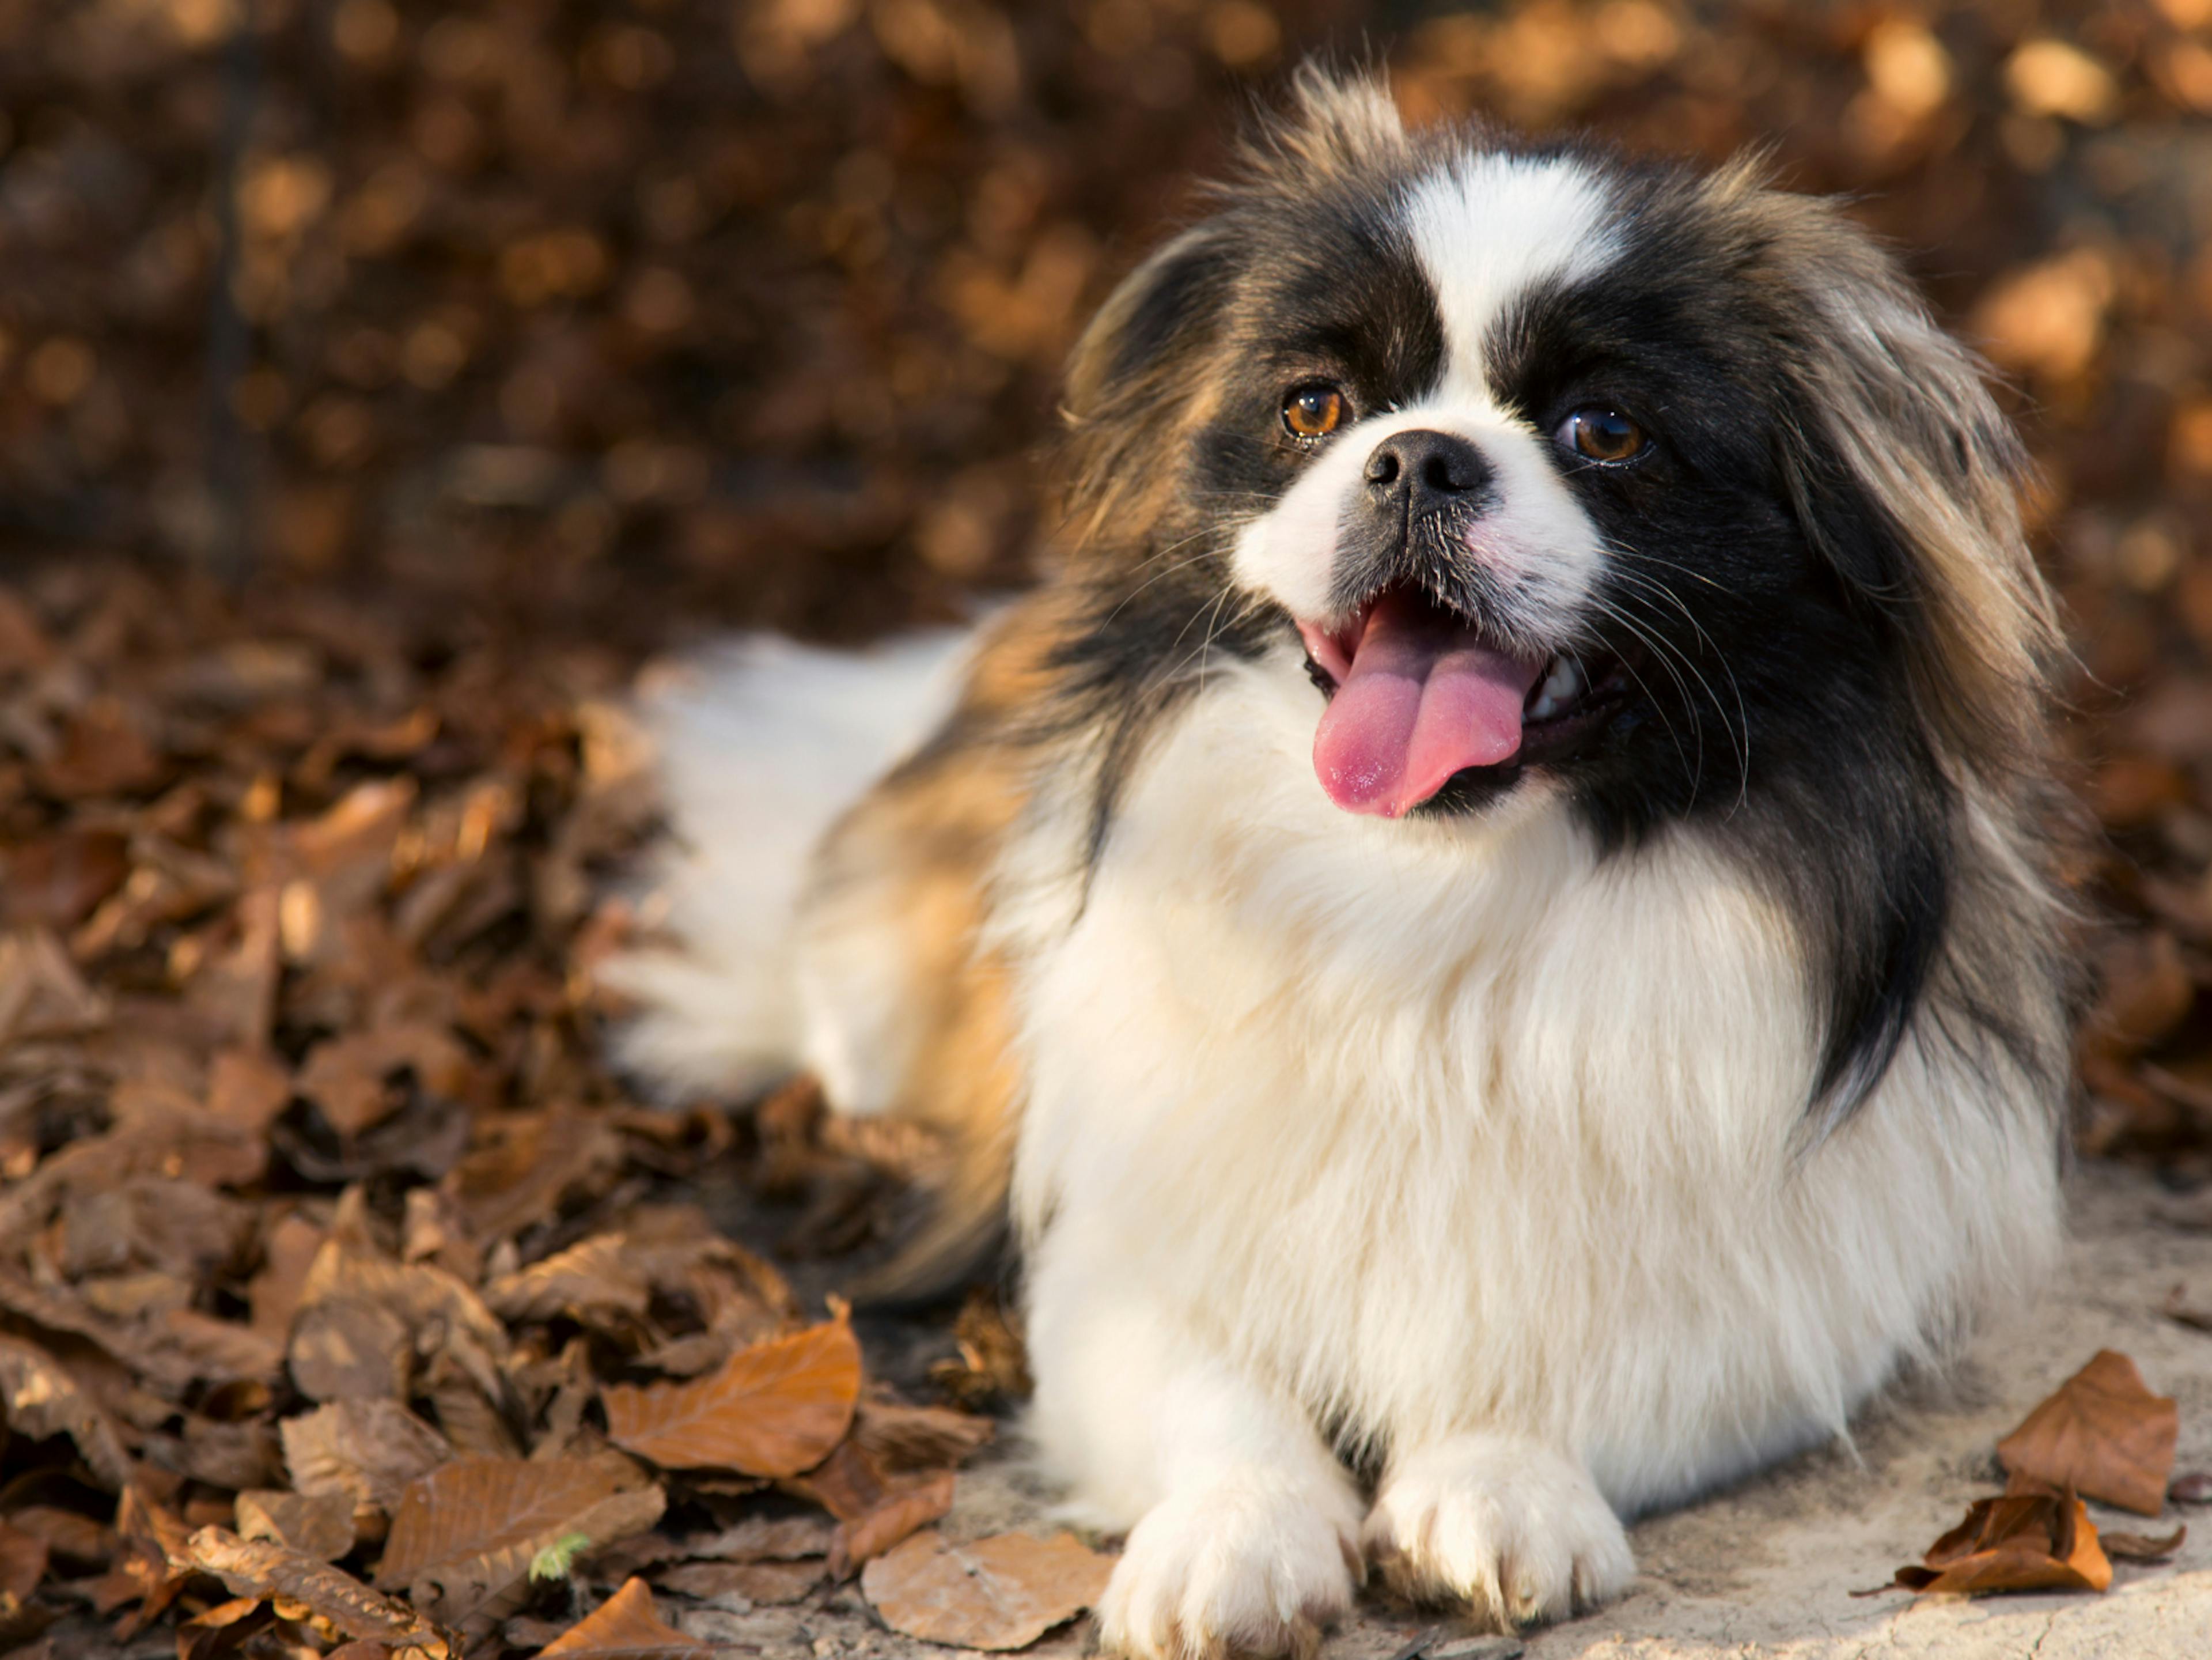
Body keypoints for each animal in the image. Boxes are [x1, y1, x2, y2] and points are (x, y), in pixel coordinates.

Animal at [606, 68, 2070, 1660]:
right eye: (1313, 408)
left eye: (1606, 431)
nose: (1420, 454)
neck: (1427, 892)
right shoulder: (1116, 1248)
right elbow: (1204, 1388)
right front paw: (1235, 1536)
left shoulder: (1786, 1291)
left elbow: (1610, 1367)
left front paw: (1495, 1482)